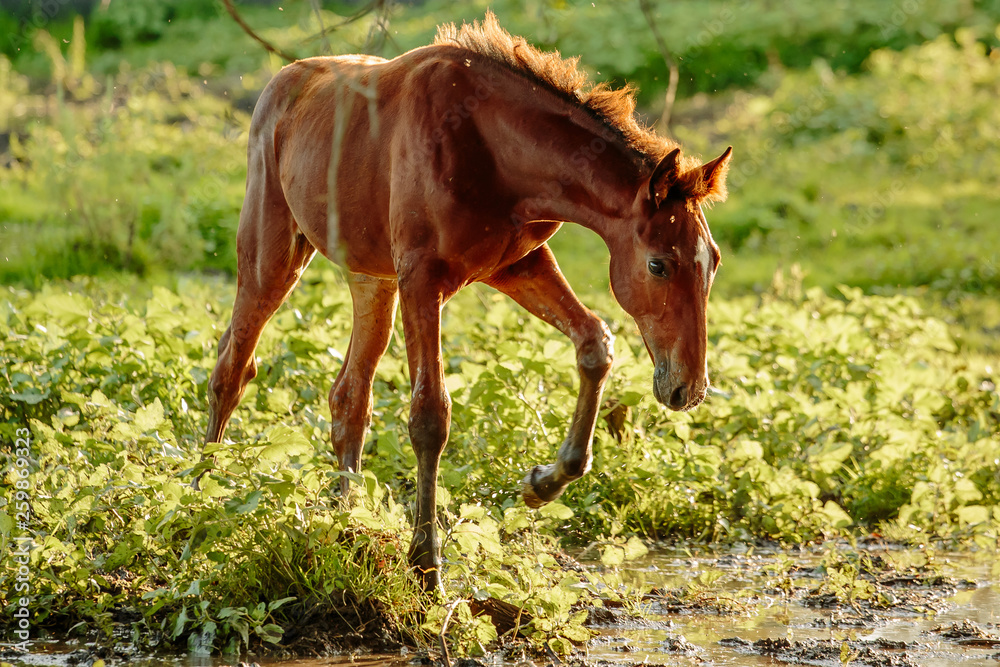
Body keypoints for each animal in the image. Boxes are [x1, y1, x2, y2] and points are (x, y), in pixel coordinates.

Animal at [201, 12, 732, 592]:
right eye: (658, 264)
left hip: (372, 282)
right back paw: (200, 498)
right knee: (232, 368)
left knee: (348, 398)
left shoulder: (516, 264)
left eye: (713, 261)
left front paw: (543, 482)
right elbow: (430, 417)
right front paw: (426, 565)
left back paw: (347, 523)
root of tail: (281, 81)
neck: (490, 144)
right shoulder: (422, 277)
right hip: (272, 259)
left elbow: (595, 343)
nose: (687, 388)